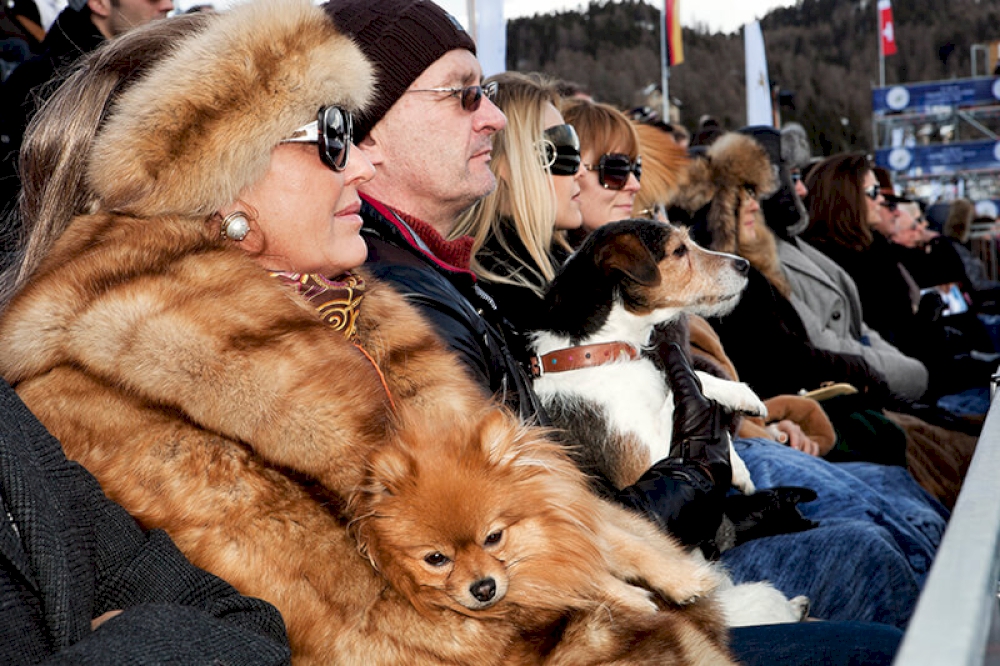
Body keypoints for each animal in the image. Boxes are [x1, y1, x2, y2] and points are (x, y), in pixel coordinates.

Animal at [352, 408, 736, 660]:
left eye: (493, 538)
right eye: (436, 559)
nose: (483, 588)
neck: (544, 538)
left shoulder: (577, 518)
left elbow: (633, 549)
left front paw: (685, 581)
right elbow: (590, 581)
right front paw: (635, 599)